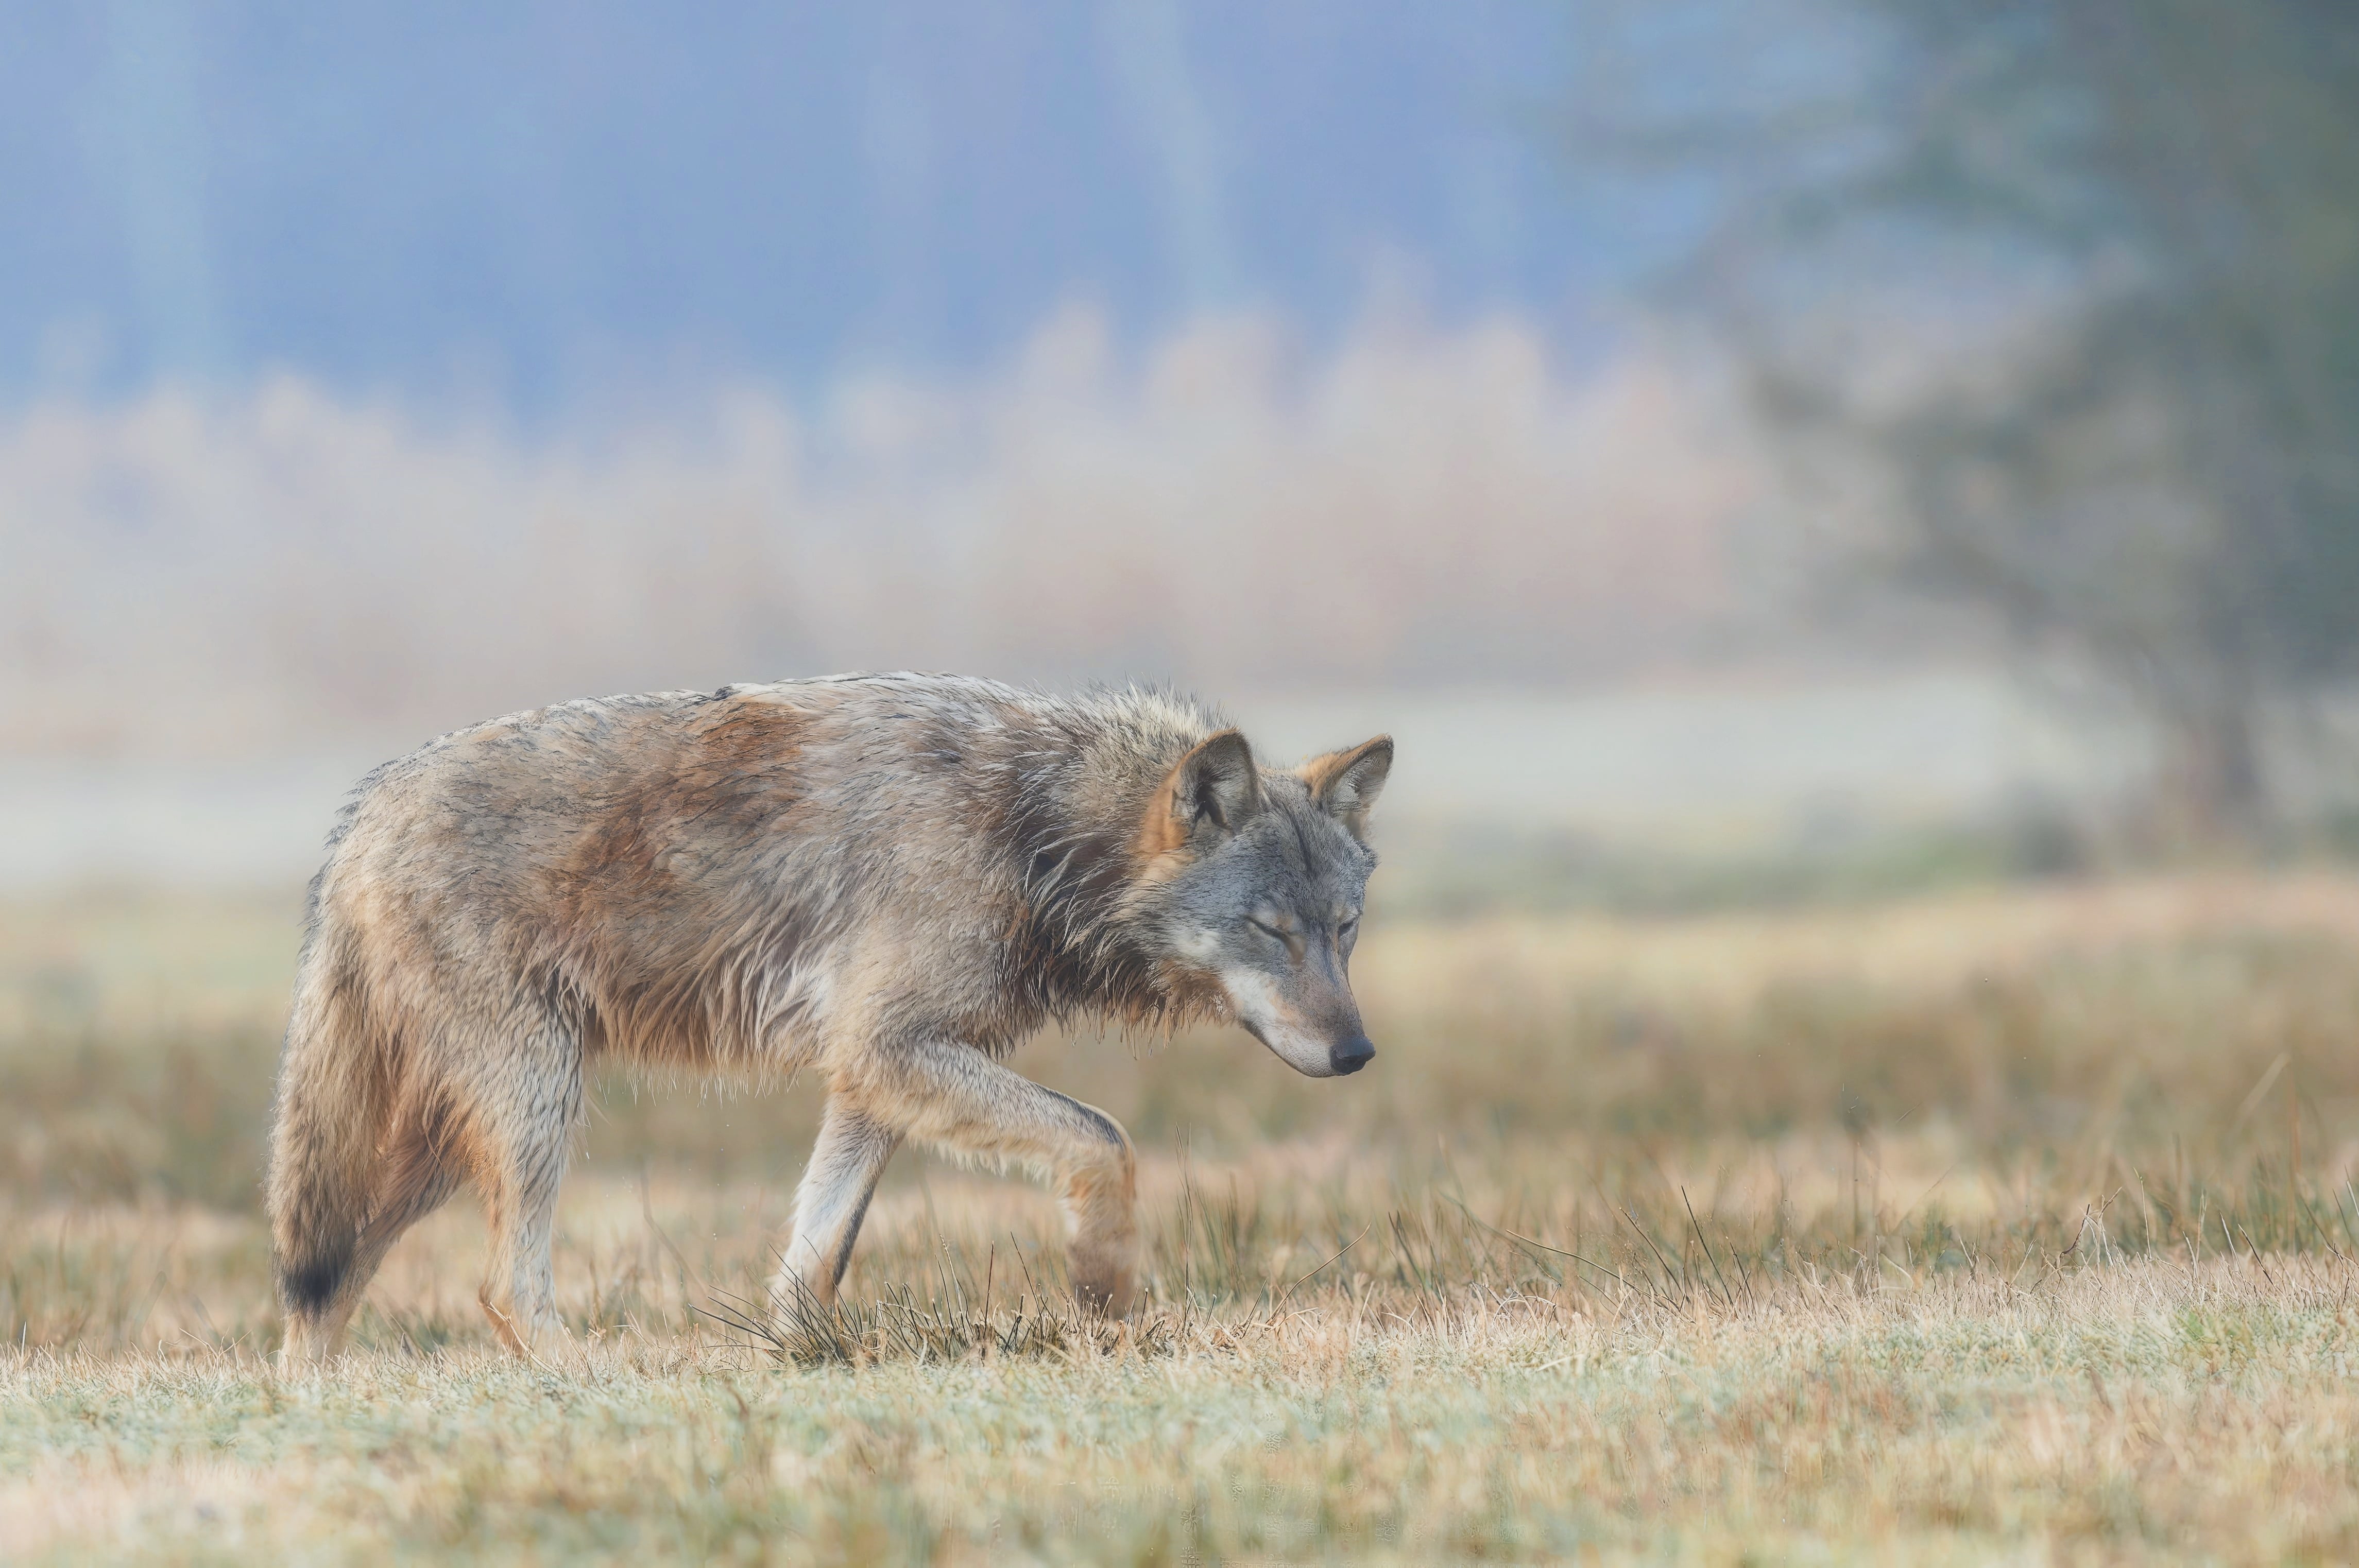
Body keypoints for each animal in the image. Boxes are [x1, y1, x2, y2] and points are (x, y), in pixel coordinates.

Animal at [267, 674, 1387, 1358]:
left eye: (1344, 930)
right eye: (1269, 930)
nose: (1357, 1051)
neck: (1031, 827)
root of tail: (360, 815)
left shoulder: (869, 1078)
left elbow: (817, 1252)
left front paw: (799, 1358)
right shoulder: (889, 1049)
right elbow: (1104, 1137)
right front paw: (1104, 1287)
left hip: (443, 1149)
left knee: (324, 1277)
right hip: (534, 1111)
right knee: (496, 1287)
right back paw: (592, 1380)